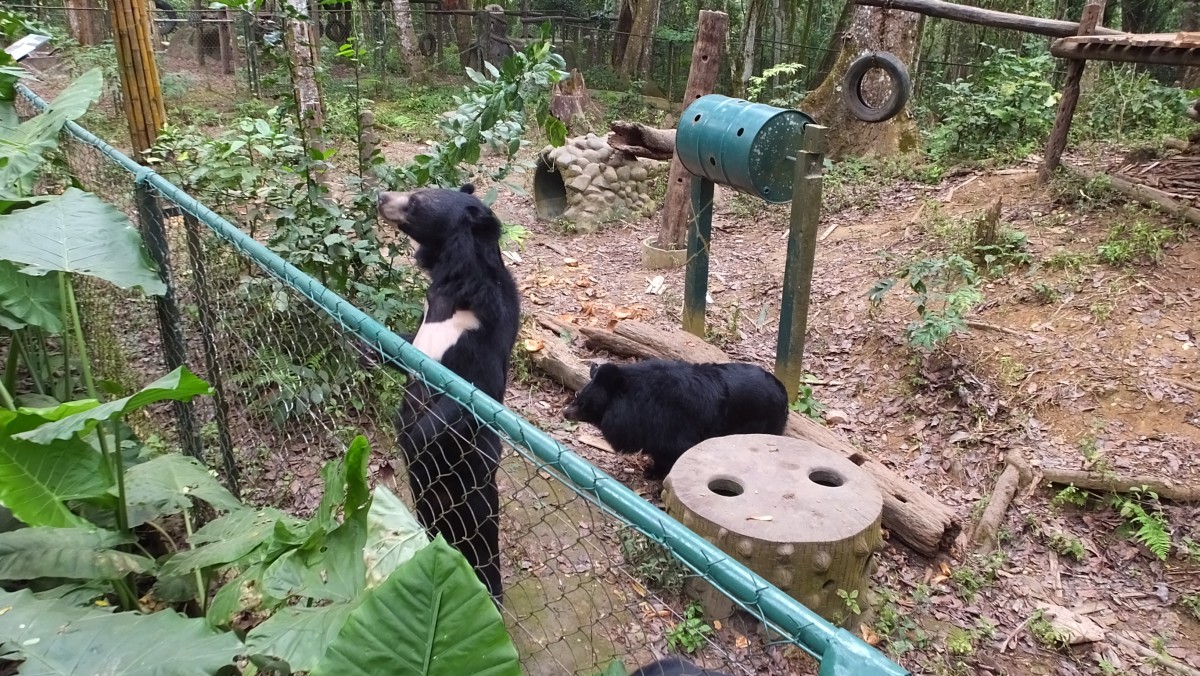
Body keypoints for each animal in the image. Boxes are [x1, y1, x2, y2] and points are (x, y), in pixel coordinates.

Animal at [374, 183, 520, 602]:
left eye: (418, 199)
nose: (380, 196)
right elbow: (403, 345)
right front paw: (363, 346)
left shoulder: (483, 340)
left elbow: (468, 400)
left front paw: (411, 437)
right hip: (428, 507)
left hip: (473, 504)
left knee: (482, 553)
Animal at [564, 360, 792, 480]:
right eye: (578, 397)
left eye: (584, 404)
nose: (565, 412)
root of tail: (783, 392)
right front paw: (652, 471)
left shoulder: (670, 428)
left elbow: (672, 453)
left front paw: (657, 475)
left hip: (762, 423)